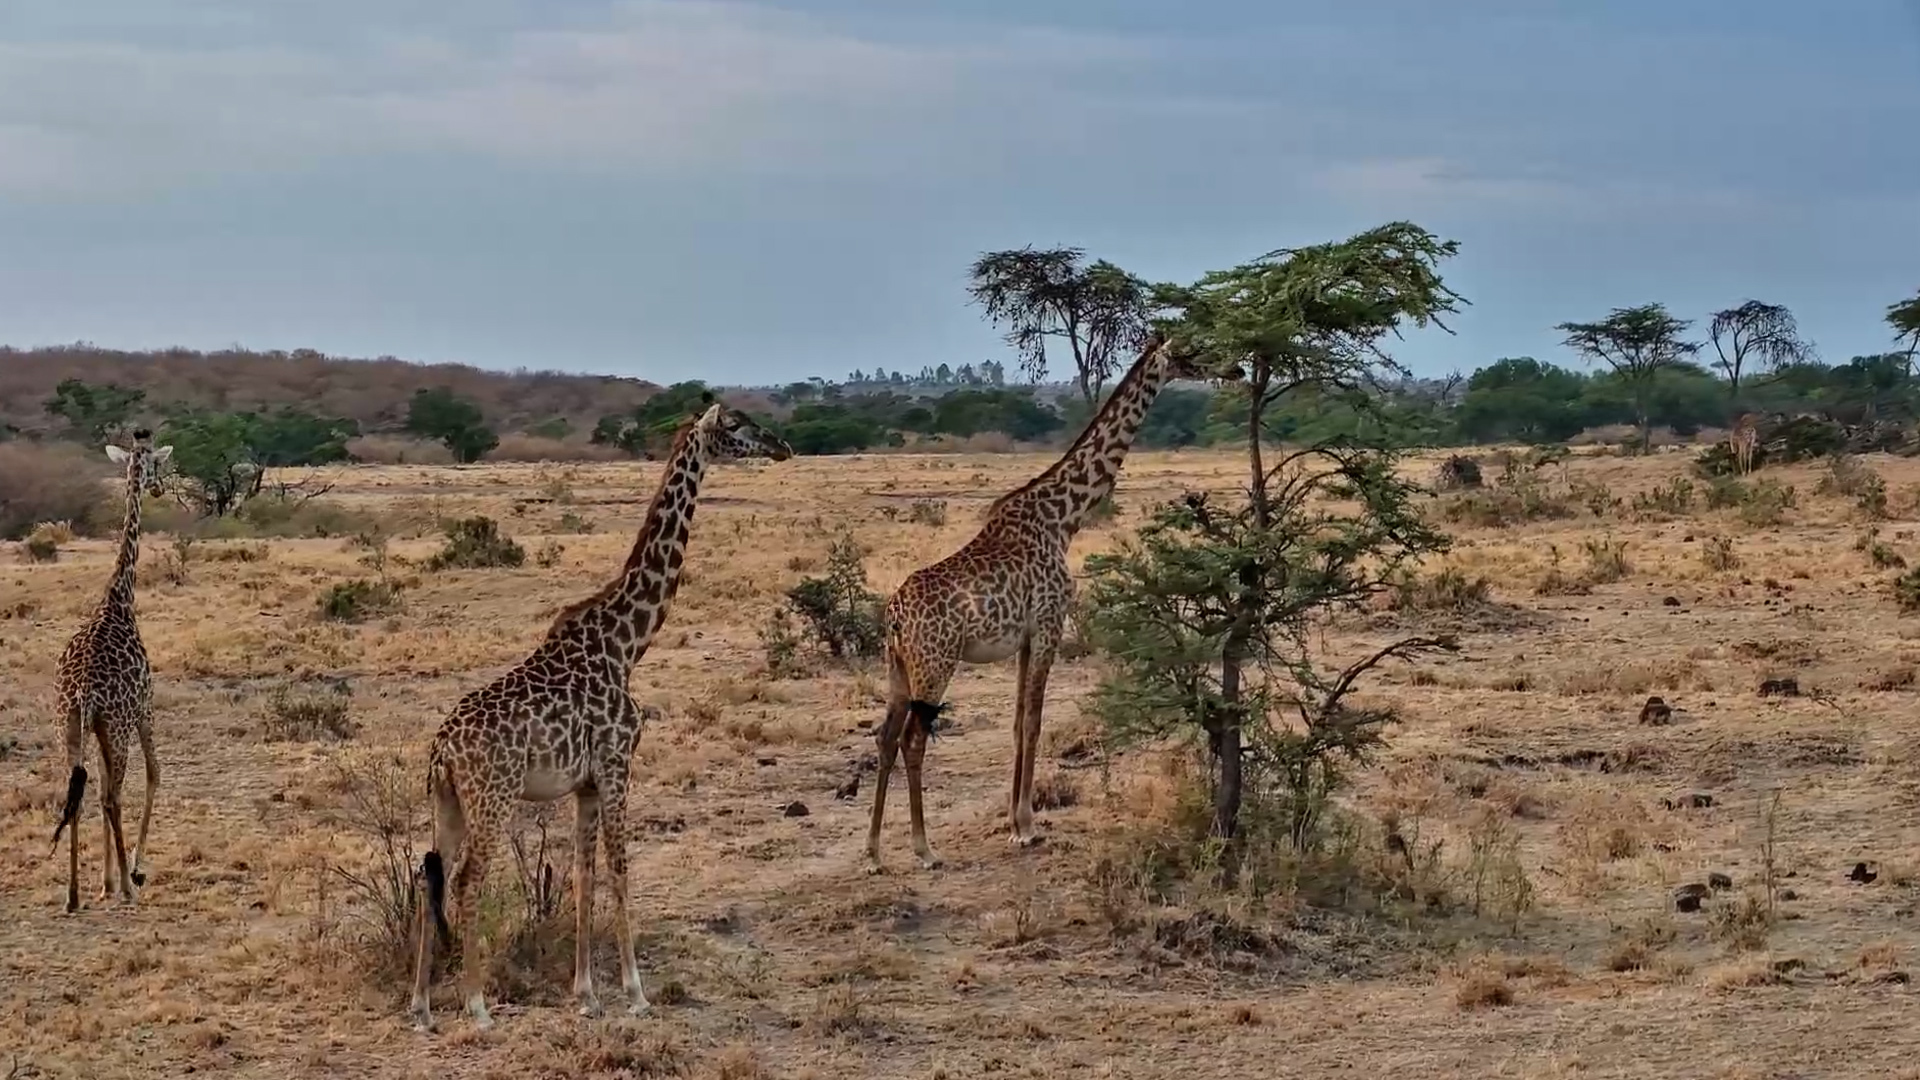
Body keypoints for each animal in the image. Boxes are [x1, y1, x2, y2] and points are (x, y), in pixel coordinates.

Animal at [47, 428, 173, 913]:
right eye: (155, 463)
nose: (157, 488)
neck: (119, 600)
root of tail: (83, 690)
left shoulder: (99, 726)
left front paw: (103, 883)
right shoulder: (144, 707)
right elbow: (155, 774)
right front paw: (130, 872)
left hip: (69, 726)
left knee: (78, 795)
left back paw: (73, 895)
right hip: (115, 727)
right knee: (112, 794)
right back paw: (126, 888)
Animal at [408, 401, 792, 1033]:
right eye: (737, 427)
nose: (783, 446)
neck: (627, 643)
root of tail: (442, 749)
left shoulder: (585, 782)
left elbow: (584, 876)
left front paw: (586, 993)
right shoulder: (617, 765)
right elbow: (619, 867)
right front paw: (636, 992)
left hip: (448, 801)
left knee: (429, 875)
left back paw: (420, 1006)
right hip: (494, 797)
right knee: (467, 880)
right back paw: (476, 1005)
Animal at [865, 333, 1206, 873]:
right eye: (1192, 351)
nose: (1234, 368)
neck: (1064, 519)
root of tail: (895, 617)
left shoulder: (1025, 637)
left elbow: (1017, 721)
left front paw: (1015, 819)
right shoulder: (1050, 623)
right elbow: (1035, 721)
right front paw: (1026, 826)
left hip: (898, 667)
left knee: (884, 738)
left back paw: (875, 851)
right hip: (935, 665)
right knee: (912, 741)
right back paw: (923, 848)